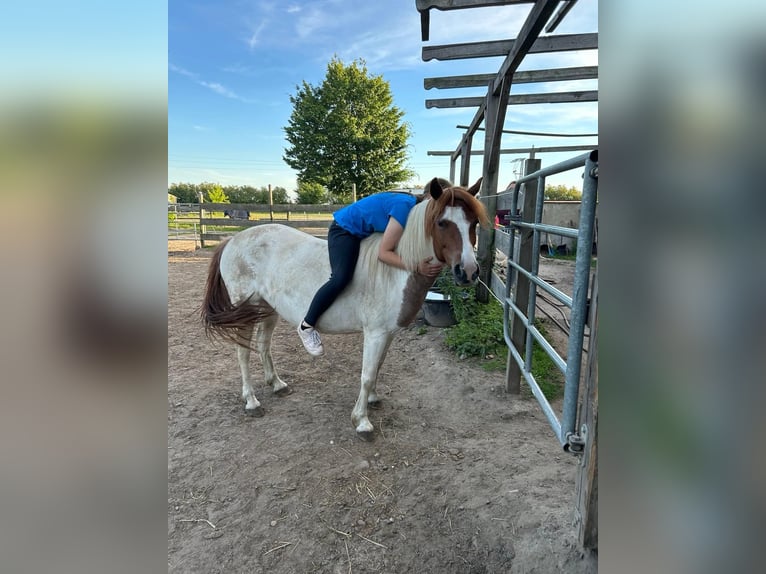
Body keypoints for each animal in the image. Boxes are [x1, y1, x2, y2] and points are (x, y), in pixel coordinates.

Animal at [201, 177, 489, 439]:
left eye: (473, 223)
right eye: (442, 223)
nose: (468, 272)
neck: (394, 270)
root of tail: (232, 240)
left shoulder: (388, 333)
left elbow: (378, 367)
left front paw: (373, 399)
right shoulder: (375, 333)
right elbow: (367, 374)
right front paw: (362, 421)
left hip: (266, 308)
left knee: (263, 345)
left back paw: (277, 384)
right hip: (245, 309)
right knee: (243, 353)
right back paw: (251, 401)